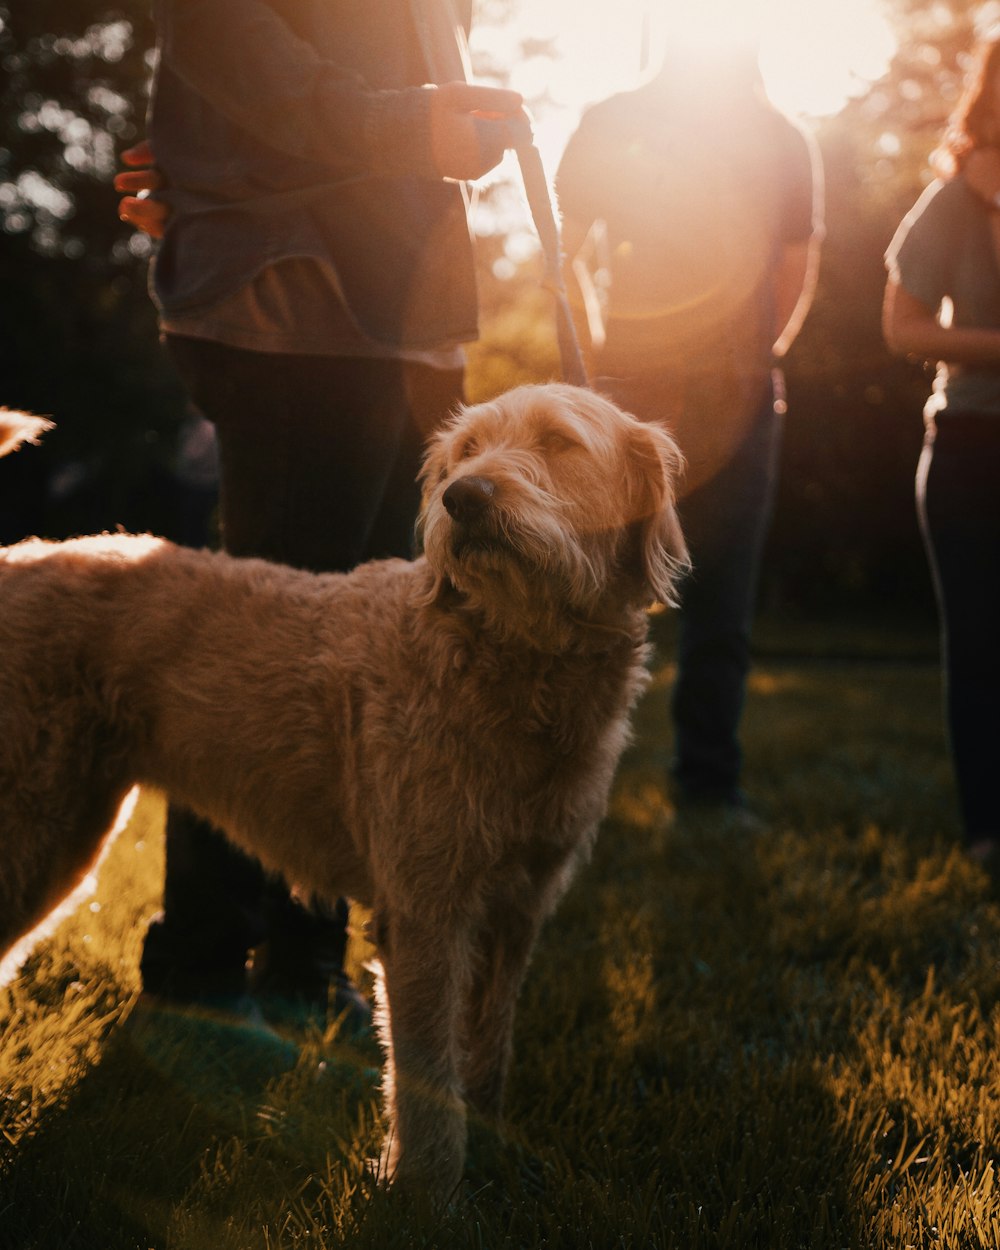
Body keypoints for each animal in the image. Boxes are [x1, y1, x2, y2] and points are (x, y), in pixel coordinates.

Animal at [0, 385, 690, 1195]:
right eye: (466, 452)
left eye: (559, 443)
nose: (464, 498)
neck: (513, 661)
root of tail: (15, 557)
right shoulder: (426, 915)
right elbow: (428, 1077)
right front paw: (426, 1194)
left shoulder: (516, 910)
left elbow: (487, 1052)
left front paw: (492, 1161)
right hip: (37, 829)